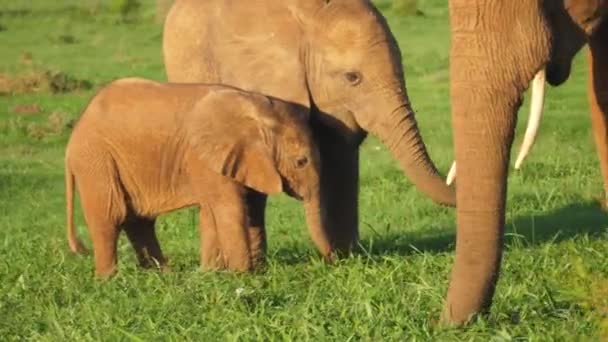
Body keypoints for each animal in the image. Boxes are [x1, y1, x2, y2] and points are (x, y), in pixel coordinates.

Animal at [65, 78, 332, 278]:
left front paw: (210, 273)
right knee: (110, 217)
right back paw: (108, 279)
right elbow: (228, 207)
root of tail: (72, 140)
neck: (259, 108)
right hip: (96, 161)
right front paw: (242, 275)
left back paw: (163, 275)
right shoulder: (205, 156)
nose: (331, 262)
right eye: (301, 162)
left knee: (139, 221)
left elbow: (212, 211)